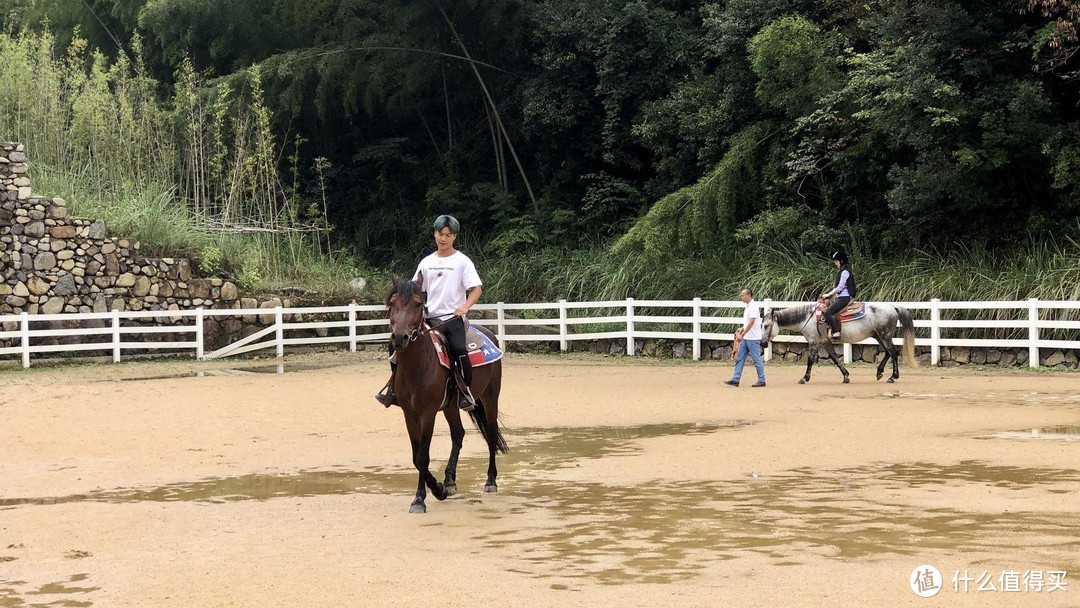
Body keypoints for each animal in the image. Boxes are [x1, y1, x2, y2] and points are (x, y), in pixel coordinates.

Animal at [386, 278, 507, 514]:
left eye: (417, 304)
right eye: (392, 303)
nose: (399, 338)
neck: (418, 366)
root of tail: (489, 333)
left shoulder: (428, 413)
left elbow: (423, 456)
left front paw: (420, 499)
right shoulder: (409, 413)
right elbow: (416, 456)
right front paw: (439, 489)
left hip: (490, 397)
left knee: (490, 434)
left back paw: (490, 481)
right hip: (451, 406)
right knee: (458, 434)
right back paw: (450, 482)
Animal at [760, 302, 920, 382]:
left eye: (766, 326)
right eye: (760, 325)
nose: (762, 343)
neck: (808, 317)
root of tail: (893, 307)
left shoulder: (813, 343)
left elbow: (810, 361)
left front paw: (805, 378)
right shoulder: (825, 343)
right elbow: (835, 358)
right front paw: (846, 376)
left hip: (885, 335)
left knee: (893, 352)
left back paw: (893, 377)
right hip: (878, 336)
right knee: (887, 353)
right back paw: (879, 373)